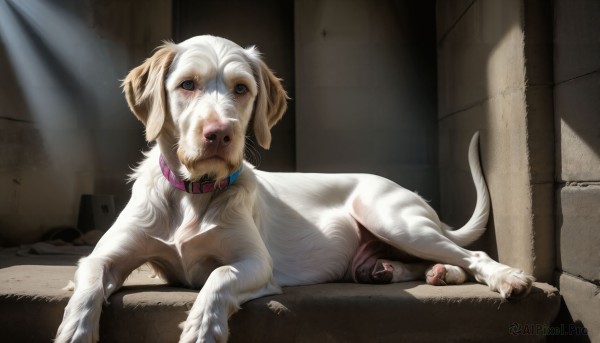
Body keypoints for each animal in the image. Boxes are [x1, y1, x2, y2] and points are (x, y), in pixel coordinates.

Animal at [56, 35, 536, 343]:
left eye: (241, 88)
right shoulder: (103, 256)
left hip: (393, 219)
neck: (193, 191)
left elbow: (217, 276)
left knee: (472, 256)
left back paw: (506, 277)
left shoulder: (255, 263)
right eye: (187, 84)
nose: (219, 133)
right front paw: (75, 329)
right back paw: (413, 272)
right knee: (435, 262)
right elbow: (89, 284)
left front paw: (202, 327)